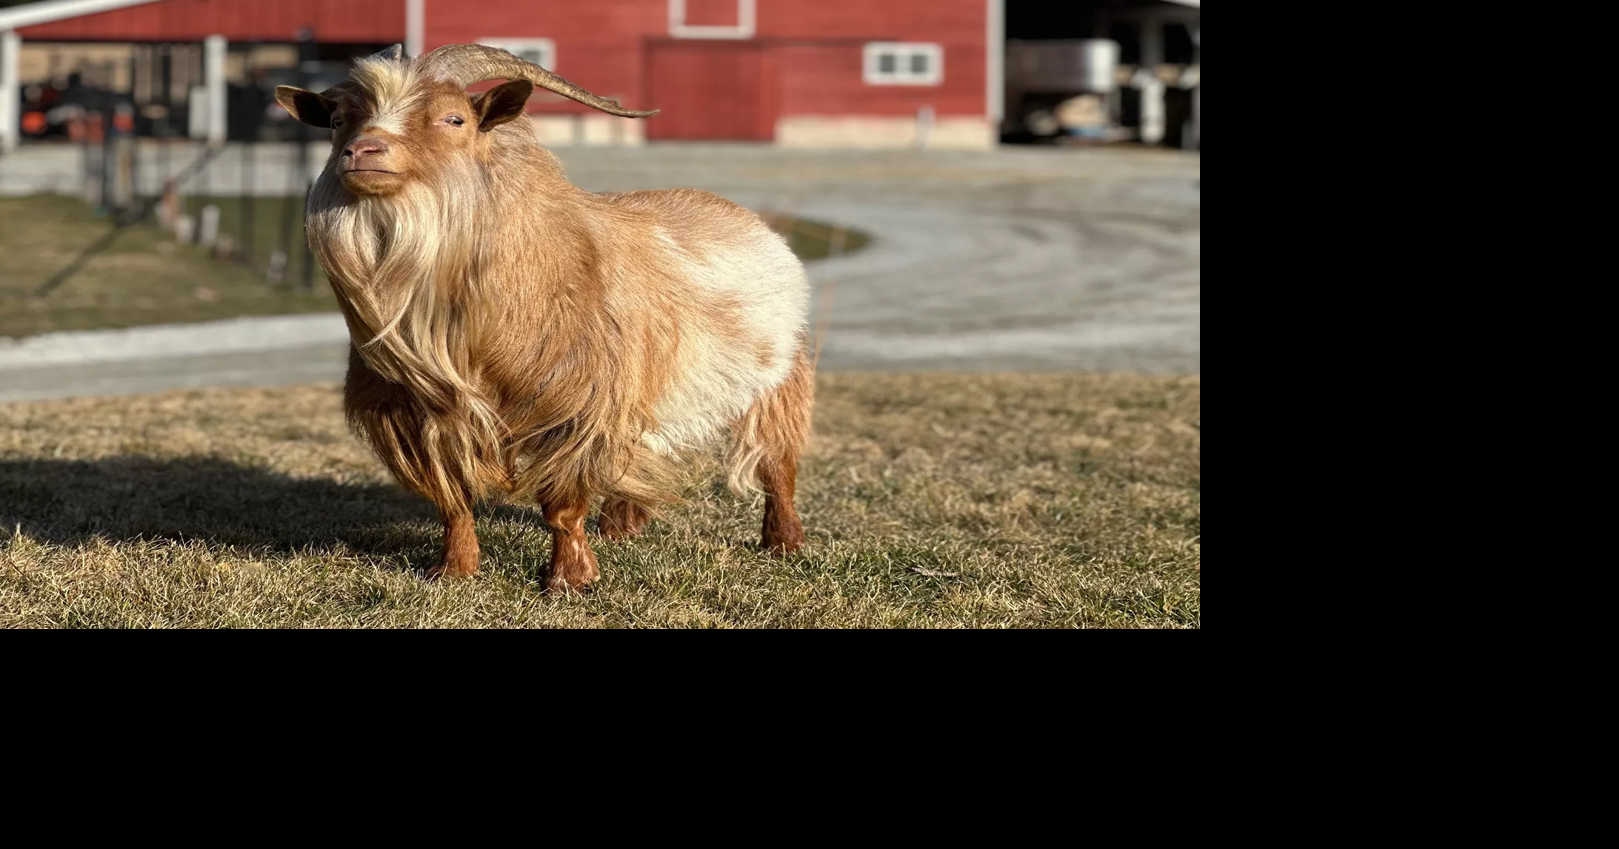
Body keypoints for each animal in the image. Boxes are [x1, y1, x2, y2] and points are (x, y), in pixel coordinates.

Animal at [274, 43, 813, 592]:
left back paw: (784, 541)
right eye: (337, 120)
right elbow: (452, 501)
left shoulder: (578, 404)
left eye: (454, 118)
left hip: (782, 377)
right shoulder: (418, 413)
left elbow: (562, 504)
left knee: (778, 462)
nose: (362, 152)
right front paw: (453, 570)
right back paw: (622, 525)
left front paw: (569, 578)